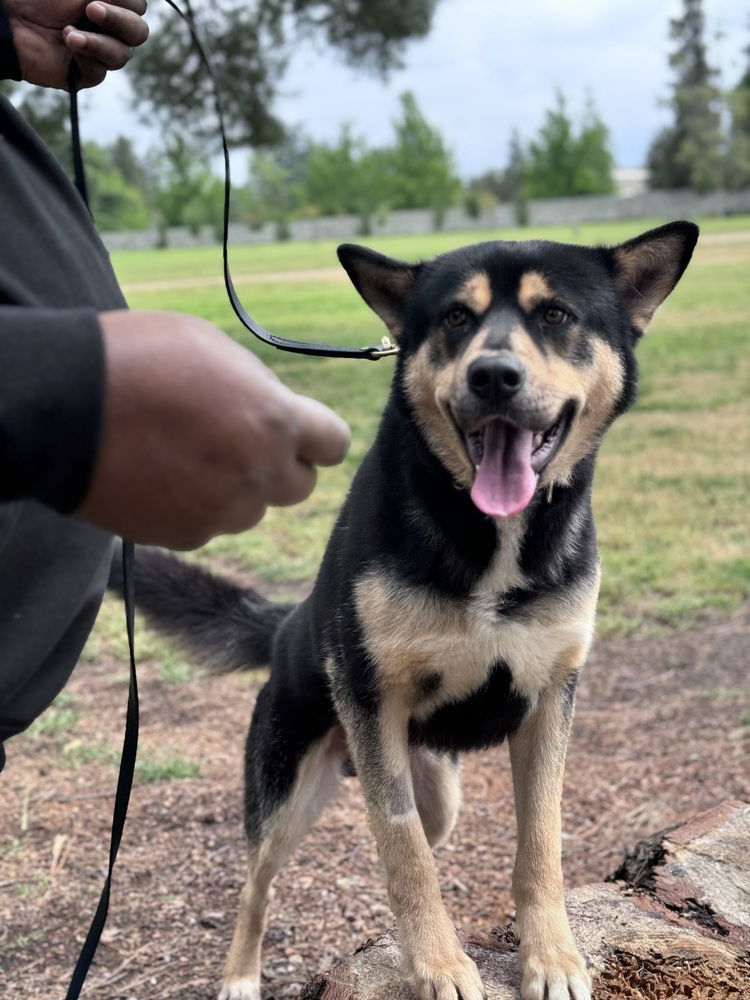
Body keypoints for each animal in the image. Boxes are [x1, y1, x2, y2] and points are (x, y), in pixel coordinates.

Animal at [114, 225, 704, 1000]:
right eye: (455, 317)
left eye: (556, 315)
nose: (493, 376)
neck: (492, 536)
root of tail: (288, 627)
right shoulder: (373, 700)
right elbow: (402, 849)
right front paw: (440, 966)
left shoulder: (551, 698)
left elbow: (539, 843)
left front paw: (551, 957)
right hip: (288, 789)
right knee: (258, 887)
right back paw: (241, 977)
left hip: (437, 791)